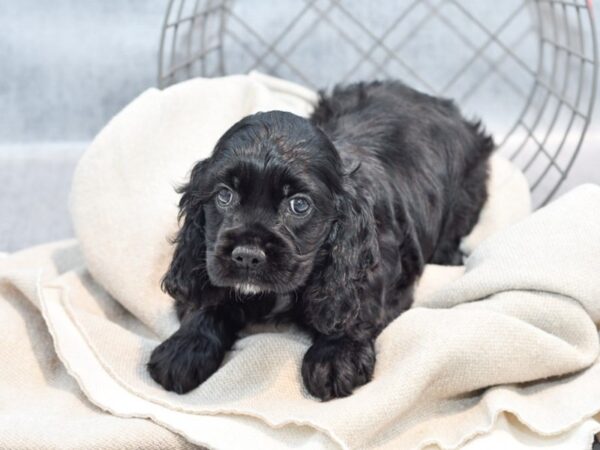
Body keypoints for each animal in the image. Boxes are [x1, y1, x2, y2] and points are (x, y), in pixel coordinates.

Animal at [149, 79, 492, 400]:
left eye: (299, 205)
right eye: (224, 195)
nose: (246, 255)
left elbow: (358, 304)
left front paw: (335, 357)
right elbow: (208, 299)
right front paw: (185, 348)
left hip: (467, 194)